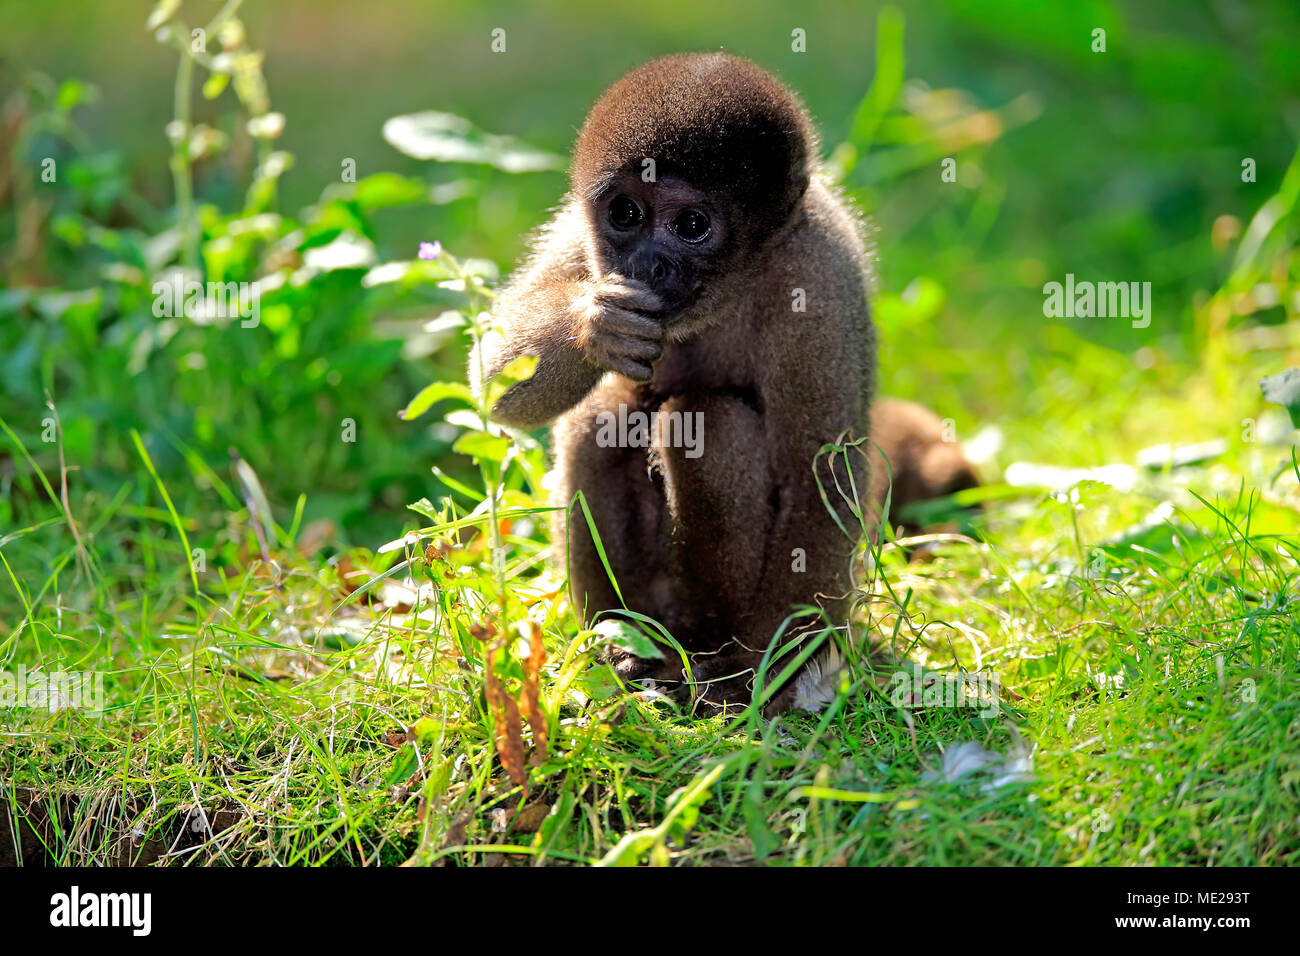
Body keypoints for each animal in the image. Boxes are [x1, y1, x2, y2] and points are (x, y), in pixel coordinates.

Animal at [467, 52, 977, 712]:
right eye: (625, 213)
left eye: (691, 224)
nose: (647, 264)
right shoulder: (579, 237)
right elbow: (491, 379)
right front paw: (593, 327)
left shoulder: (819, 277)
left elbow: (817, 478)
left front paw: (772, 672)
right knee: (602, 415)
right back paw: (624, 644)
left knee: (706, 421)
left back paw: (709, 659)